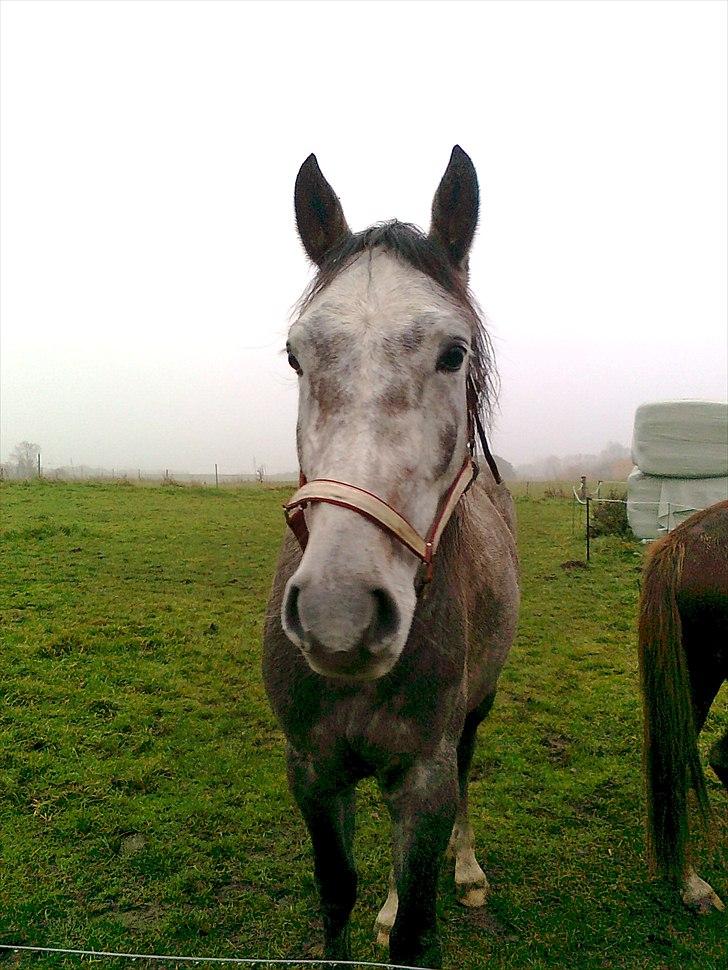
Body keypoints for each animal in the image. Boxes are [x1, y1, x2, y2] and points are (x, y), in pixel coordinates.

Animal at [264, 147, 520, 964]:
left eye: (453, 354)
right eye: (296, 356)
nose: (339, 615)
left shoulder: (424, 775)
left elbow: (415, 931)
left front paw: (422, 902)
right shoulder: (312, 772)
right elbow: (336, 894)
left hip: (474, 711)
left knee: (468, 773)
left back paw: (467, 873)